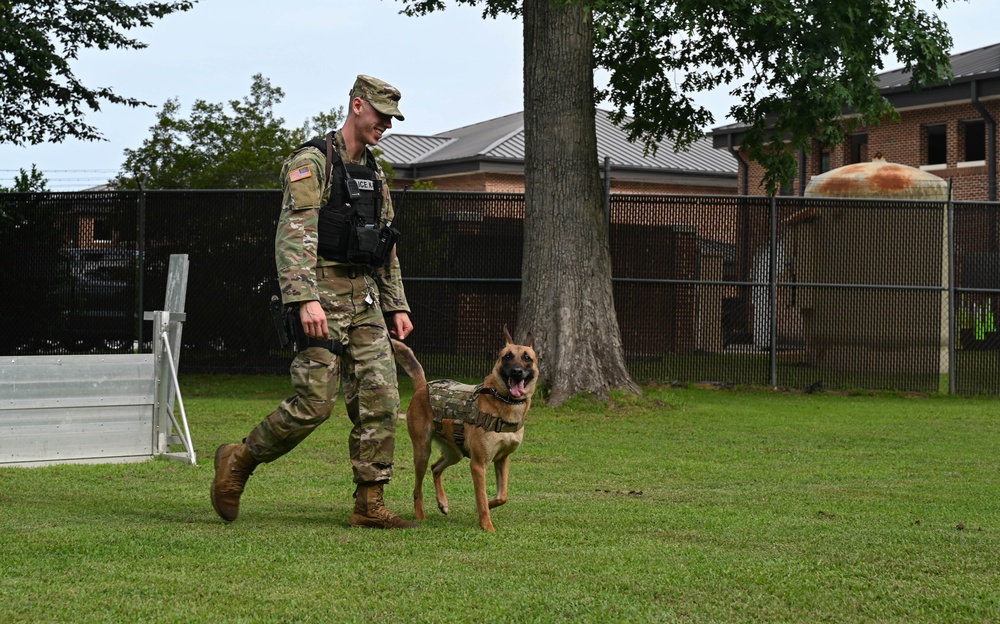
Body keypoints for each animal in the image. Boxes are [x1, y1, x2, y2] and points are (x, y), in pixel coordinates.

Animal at [390, 326, 540, 532]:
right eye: (507, 357)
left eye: (527, 358)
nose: (517, 372)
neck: (504, 402)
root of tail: (423, 386)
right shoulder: (478, 464)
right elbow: (481, 497)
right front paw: (487, 526)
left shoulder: (502, 459)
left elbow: (502, 496)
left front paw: (488, 506)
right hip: (422, 451)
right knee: (417, 489)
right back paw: (420, 516)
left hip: (455, 453)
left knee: (435, 468)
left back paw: (442, 502)